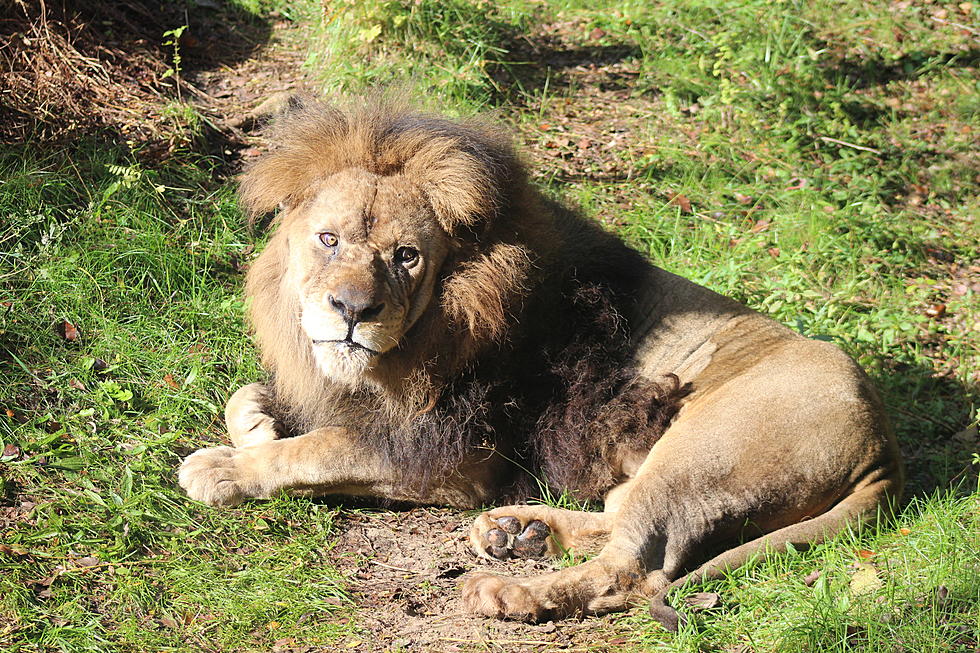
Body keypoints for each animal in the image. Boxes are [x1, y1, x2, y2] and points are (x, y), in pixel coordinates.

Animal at [178, 95, 904, 628]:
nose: (352, 309)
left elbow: (322, 447)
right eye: (328, 240)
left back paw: (508, 590)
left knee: (633, 567)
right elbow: (251, 398)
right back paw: (518, 530)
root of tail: (884, 444)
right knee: (619, 521)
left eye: (407, 256)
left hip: (703, 449)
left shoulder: (456, 455)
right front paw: (258, 421)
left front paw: (225, 466)